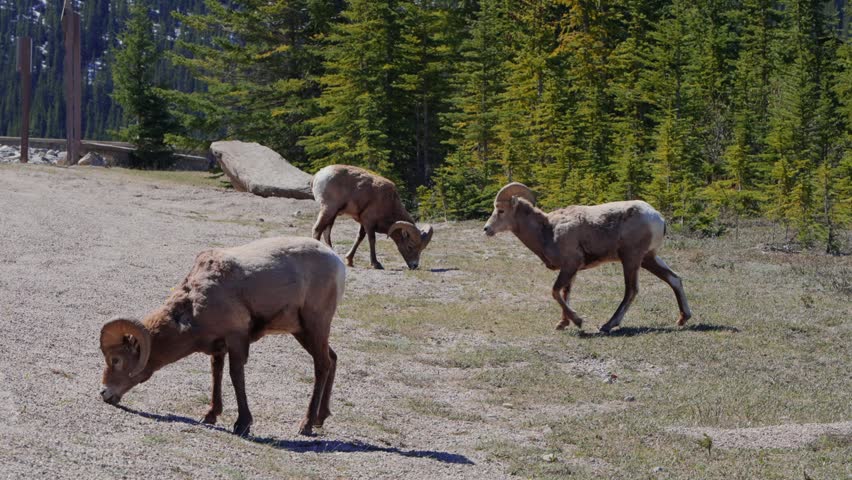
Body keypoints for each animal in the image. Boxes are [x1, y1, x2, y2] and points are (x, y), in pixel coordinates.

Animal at [99, 236, 345, 437]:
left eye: (116, 360)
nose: (104, 394)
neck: (195, 304)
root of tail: (338, 264)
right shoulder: (218, 347)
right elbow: (216, 373)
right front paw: (210, 415)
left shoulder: (236, 340)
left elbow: (235, 376)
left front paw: (242, 424)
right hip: (303, 332)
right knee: (332, 359)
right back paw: (321, 418)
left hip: (314, 326)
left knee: (322, 365)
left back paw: (306, 425)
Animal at [483, 183, 692, 333]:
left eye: (501, 211)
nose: (487, 229)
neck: (547, 230)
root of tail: (658, 218)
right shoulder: (571, 270)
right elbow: (565, 293)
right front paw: (562, 323)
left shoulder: (570, 264)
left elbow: (555, 291)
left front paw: (578, 321)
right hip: (648, 258)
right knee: (674, 279)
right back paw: (683, 318)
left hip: (631, 259)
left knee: (631, 290)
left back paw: (607, 325)